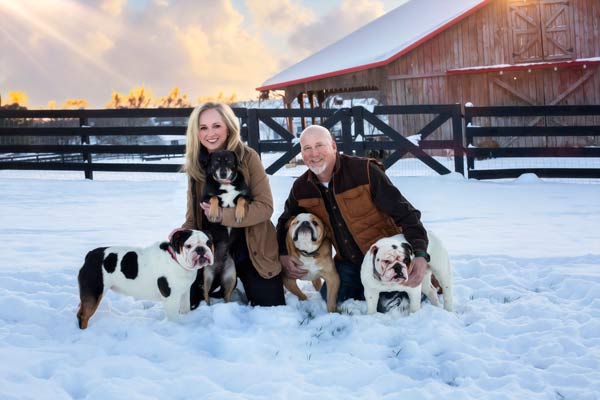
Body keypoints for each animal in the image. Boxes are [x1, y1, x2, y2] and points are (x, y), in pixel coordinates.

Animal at [191, 150, 252, 306]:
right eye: (216, 162)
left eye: (229, 161)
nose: (223, 173)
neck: (226, 185)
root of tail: (218, 269)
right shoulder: (204, 200)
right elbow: (214, 198)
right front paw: (213, 212)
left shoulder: (249, 197)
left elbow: (241, 198)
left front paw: (239, 213)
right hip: (206, 276)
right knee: (205, 294)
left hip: (231, 276)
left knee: (226, 295)